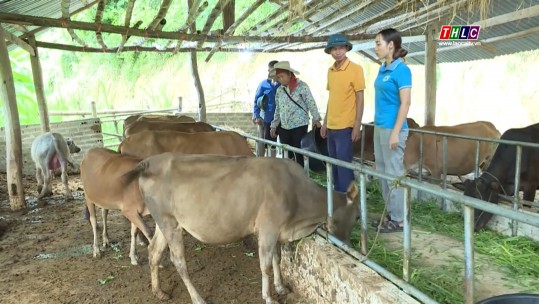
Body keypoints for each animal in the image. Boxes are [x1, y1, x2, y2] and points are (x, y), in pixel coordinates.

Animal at [122, 154, 358, 304]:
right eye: (356, 216)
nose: (347, 243)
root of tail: (149, 161)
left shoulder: (277, 231)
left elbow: (277, 258)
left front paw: (281, 287)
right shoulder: (268, 228)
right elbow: (265, 265)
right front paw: (269, 297)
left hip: (165, 221)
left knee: (154, 251)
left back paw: (158, 291)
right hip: (170, 223)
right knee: (178, 261)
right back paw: (198, 298)